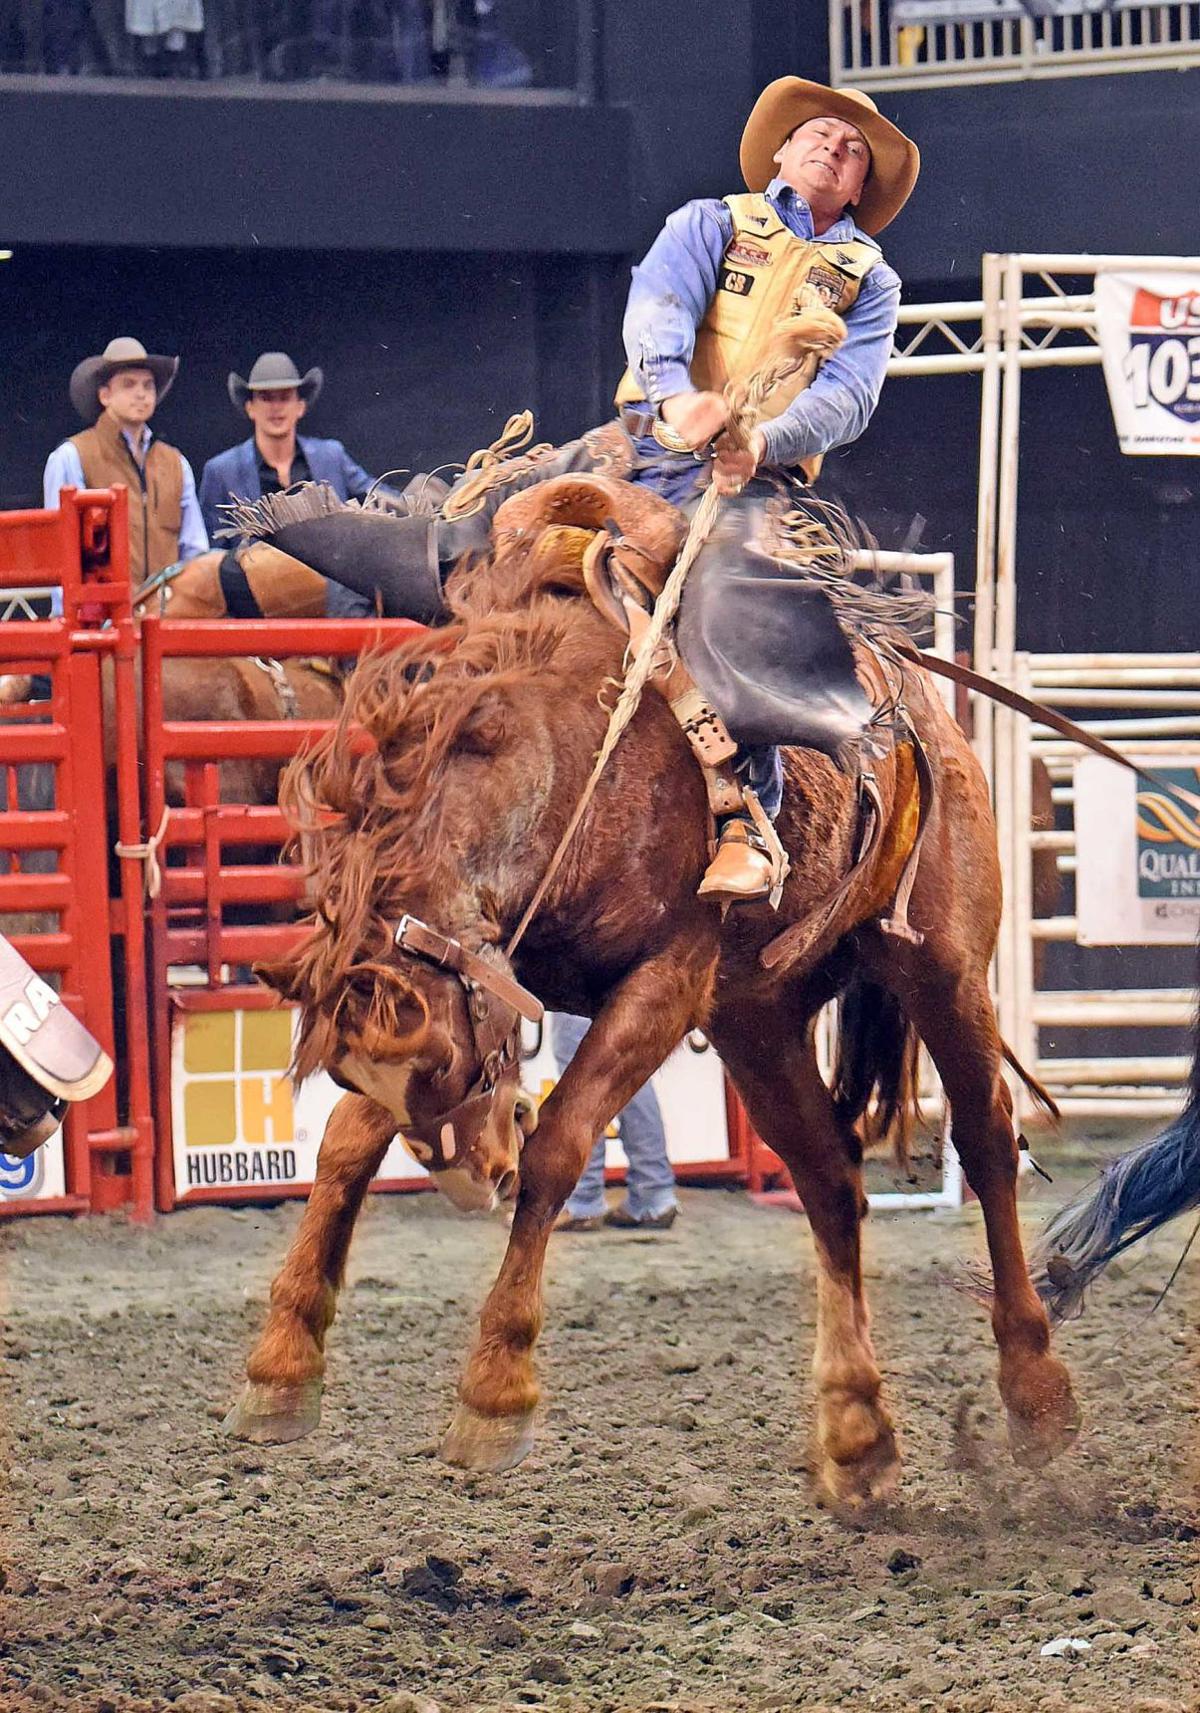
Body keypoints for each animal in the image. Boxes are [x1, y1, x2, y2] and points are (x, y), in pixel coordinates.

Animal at [217, 459, 1088, 1514]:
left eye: (443, 1067)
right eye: (379, 1074)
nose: (471, 1180)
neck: (572, 753)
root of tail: (919, 710)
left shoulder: (666, 982)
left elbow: (559, 1144)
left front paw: (494, 1391)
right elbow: (346, 1147)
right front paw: (281, 1365)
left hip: (946, 966)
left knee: (988, 1140)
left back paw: (1035, 1389)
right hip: (759, 1018)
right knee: (830, 1179)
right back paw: (858, 1434)